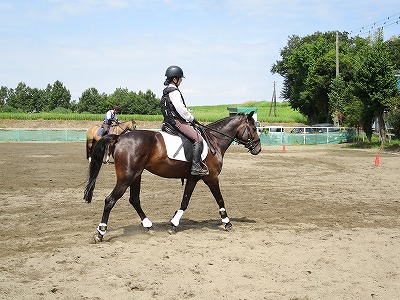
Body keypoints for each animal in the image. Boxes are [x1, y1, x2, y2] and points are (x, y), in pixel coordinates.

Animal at [83, 111, 260, 243]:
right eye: (253, 128)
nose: (258, 148)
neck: (213, 141)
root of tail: (120, 137)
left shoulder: (193, 178)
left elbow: (185, 201)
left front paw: (174, 224)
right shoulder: (212, 178)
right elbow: (220, 200)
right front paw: (227, 223)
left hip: (136, 176)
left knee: (134, 200)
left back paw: (148, 226)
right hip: (126, 177)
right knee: (110, 200)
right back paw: (101, 232)